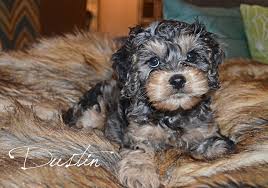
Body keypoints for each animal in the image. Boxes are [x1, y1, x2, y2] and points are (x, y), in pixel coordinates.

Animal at [62, 19, 234, 187]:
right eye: (154, 61)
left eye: (192, 56)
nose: (178, 80)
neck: (171, 113)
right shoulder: (138, 133)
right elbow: (139, 151)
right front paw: (139, 174)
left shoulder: (204, 125)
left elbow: (209, 139)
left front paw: (214, 146)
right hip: (93, 111)